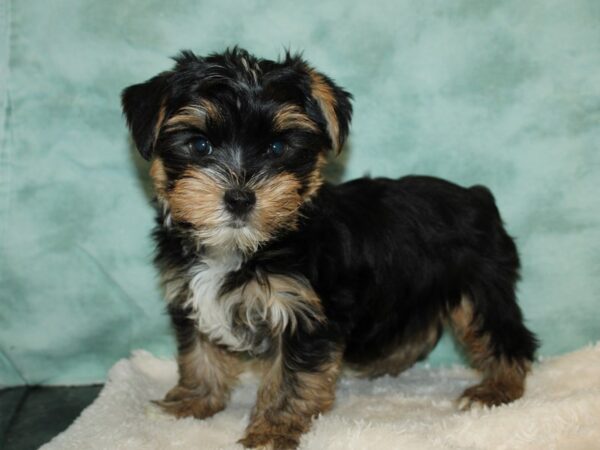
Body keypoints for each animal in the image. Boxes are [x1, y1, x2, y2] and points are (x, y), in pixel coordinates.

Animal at [122, 49, 540, 450]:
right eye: (200, 145)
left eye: (277, 147)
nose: (240, 198)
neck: (245, 246)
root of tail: (477, 195)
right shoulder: (192, 295)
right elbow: (199, 354)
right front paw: (191, 402)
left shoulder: (305, 315)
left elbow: (290, 379)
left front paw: (272, 430)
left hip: (480, 284)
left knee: (503, 334)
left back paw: (495, 389)